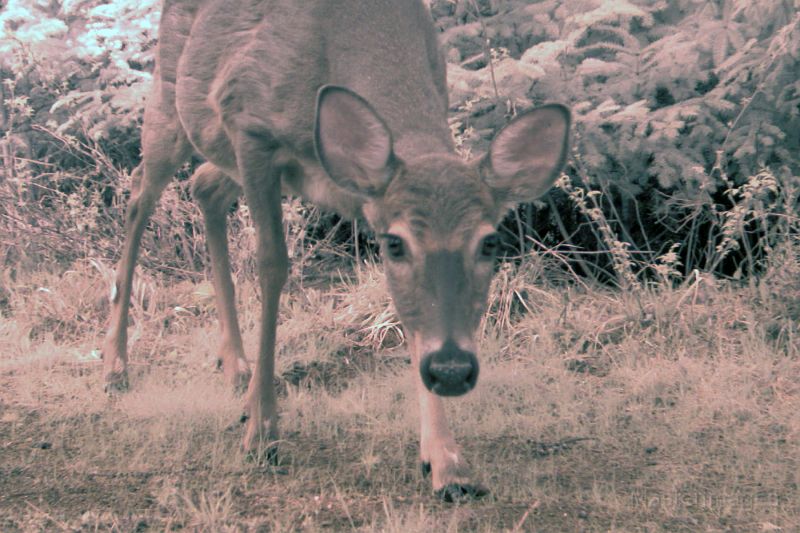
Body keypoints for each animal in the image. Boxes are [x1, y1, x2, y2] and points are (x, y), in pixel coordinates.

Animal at [104, 0, 568, 498]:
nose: (451, 370)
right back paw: (116, 365)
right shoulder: (251, 129)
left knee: (204, 186)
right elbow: (272, 263)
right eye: (395, 243)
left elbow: (408, 312)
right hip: (170, 101)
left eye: (490, 241)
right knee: (139, 196)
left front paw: (447, 463)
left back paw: (236, 366)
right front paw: (263, 431)